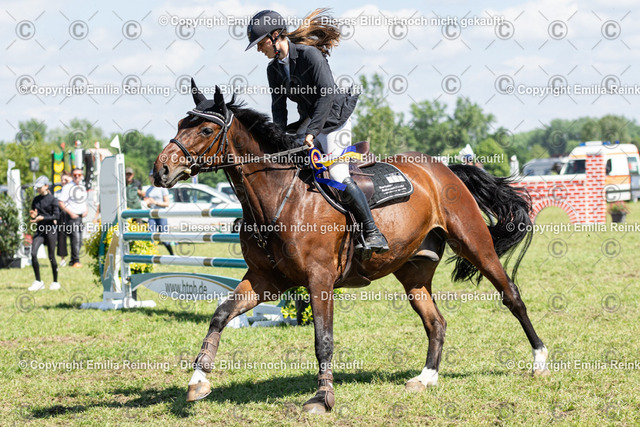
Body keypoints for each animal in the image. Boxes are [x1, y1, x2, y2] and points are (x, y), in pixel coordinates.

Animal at [152, 79, 550, 414]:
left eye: (205, 129)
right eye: (179, 124)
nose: (161, 171)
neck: (280, 197)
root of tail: (445, 169)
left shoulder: (319, 279)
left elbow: (323, 340)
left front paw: (323, 399)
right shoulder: (267, 280)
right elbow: (220, 314)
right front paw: (198, 382)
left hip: (474, 243)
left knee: (511, 295)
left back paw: (540, 361)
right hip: (414, 270)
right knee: (436, 321)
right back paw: (425, 378)